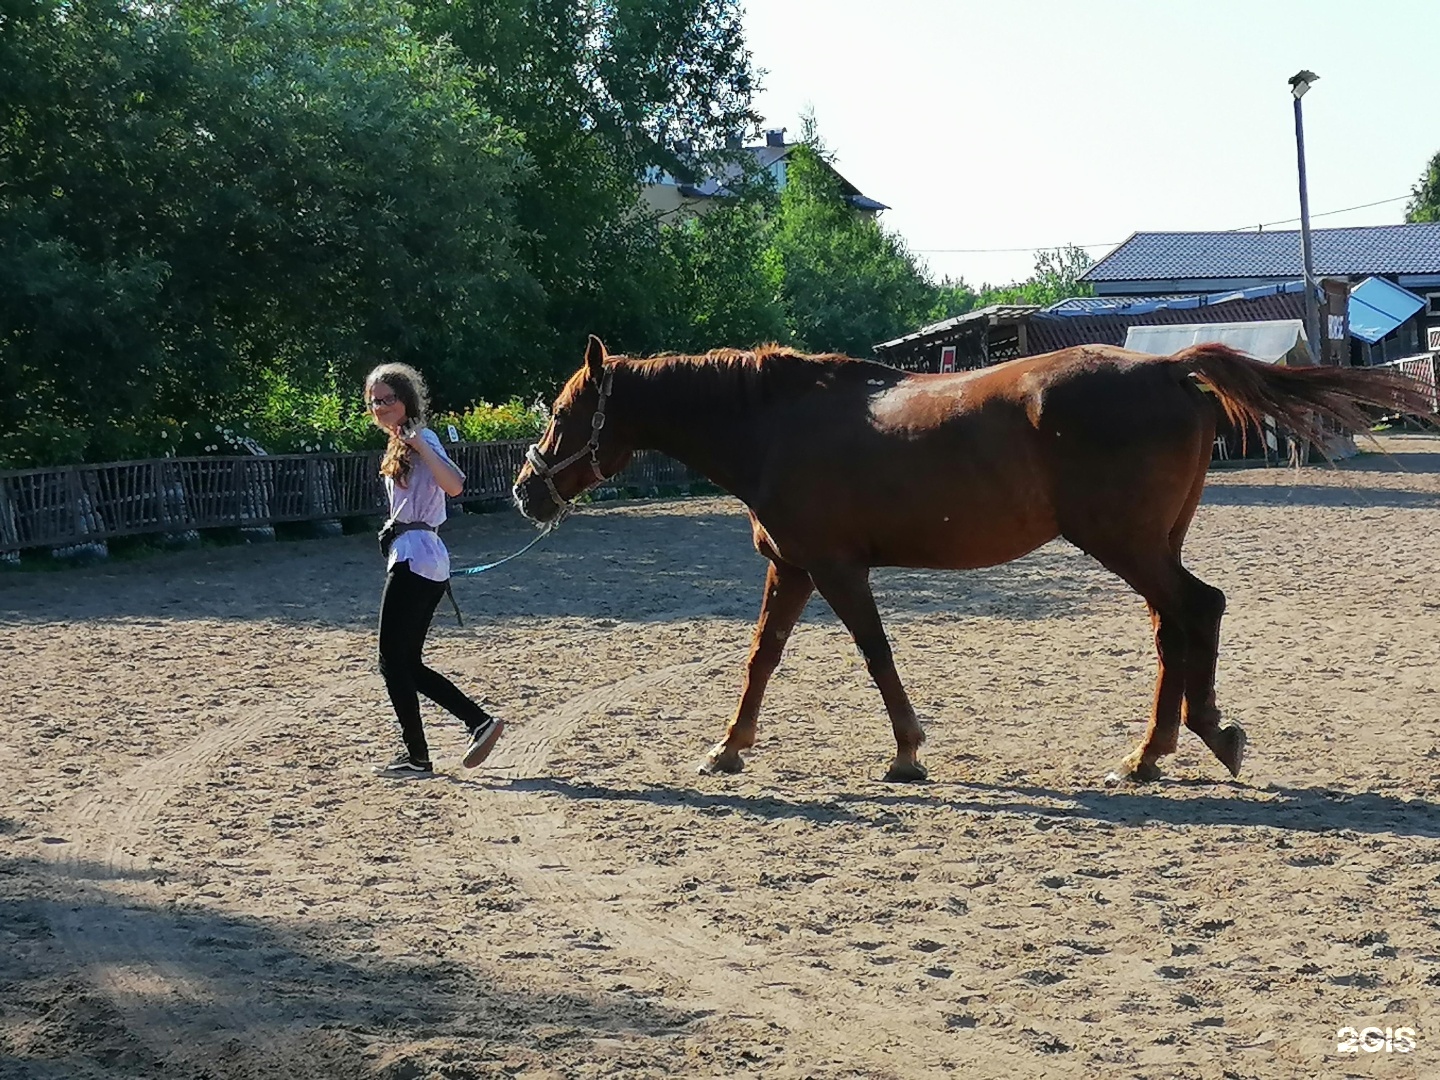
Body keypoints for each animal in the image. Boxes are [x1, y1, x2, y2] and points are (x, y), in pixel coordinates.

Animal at [512, 334, 1422, 783]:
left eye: (561, 412)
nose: (526, 491)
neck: (776, 425)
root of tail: (1168, 366)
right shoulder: (793, 568)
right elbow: (760, 660)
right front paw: (728, 748)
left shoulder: (837, 569)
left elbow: (876, 655)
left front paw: (907, 751)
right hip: (1149, 544)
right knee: (1175, 626)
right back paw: (1151, 753)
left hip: (1124, 543)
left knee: (1198, 610)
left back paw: (1200, 738)